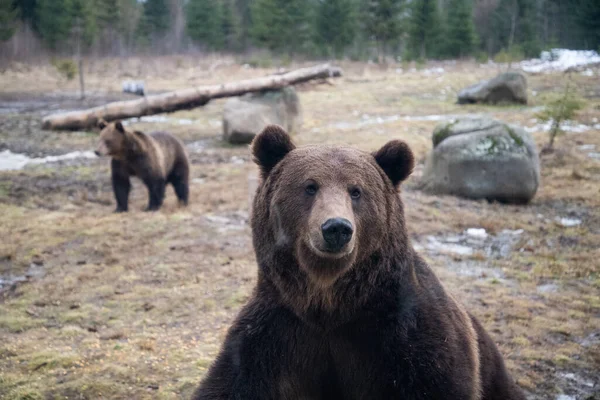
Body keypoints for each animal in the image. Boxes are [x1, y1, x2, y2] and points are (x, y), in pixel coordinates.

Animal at [193, 125, 524, 400]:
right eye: (310, 186)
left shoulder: (406, 336)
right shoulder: (275, 335)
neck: (329, 304)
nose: (336, 228)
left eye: (356, 191)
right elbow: (231, 384)